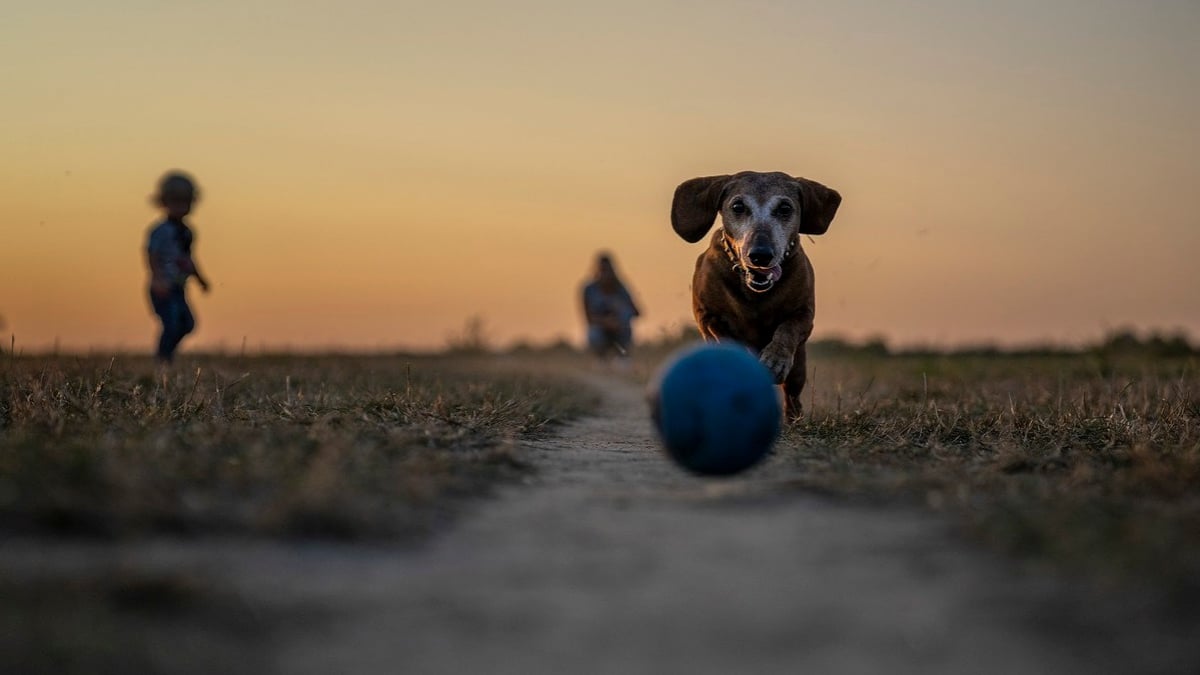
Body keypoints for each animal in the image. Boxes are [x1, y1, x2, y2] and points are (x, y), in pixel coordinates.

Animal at [667, 170, 844, 417]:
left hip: (799, 368)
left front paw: (775, 360)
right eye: (738, 206)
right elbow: (725, 336)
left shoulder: (804, 314)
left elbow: (787, 330)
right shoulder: (707, 315)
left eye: (785, 208)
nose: (761, 255)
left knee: (792, 395)